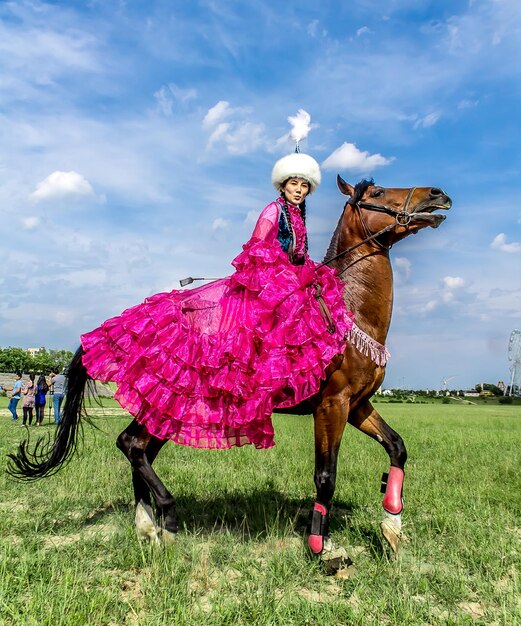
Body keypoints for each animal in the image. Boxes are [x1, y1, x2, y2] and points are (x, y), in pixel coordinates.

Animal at [7, 179, 450, 564]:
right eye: (376, 192)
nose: (436, 195)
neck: (347, 311)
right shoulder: (332, 405)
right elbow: (326, 475)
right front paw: (320, 549)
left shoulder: (357, 405)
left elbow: (397, 447)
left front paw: (392, 528)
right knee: (132, 445)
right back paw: (167, 520)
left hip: (164, 408)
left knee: (135, 448)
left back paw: (147, 527)